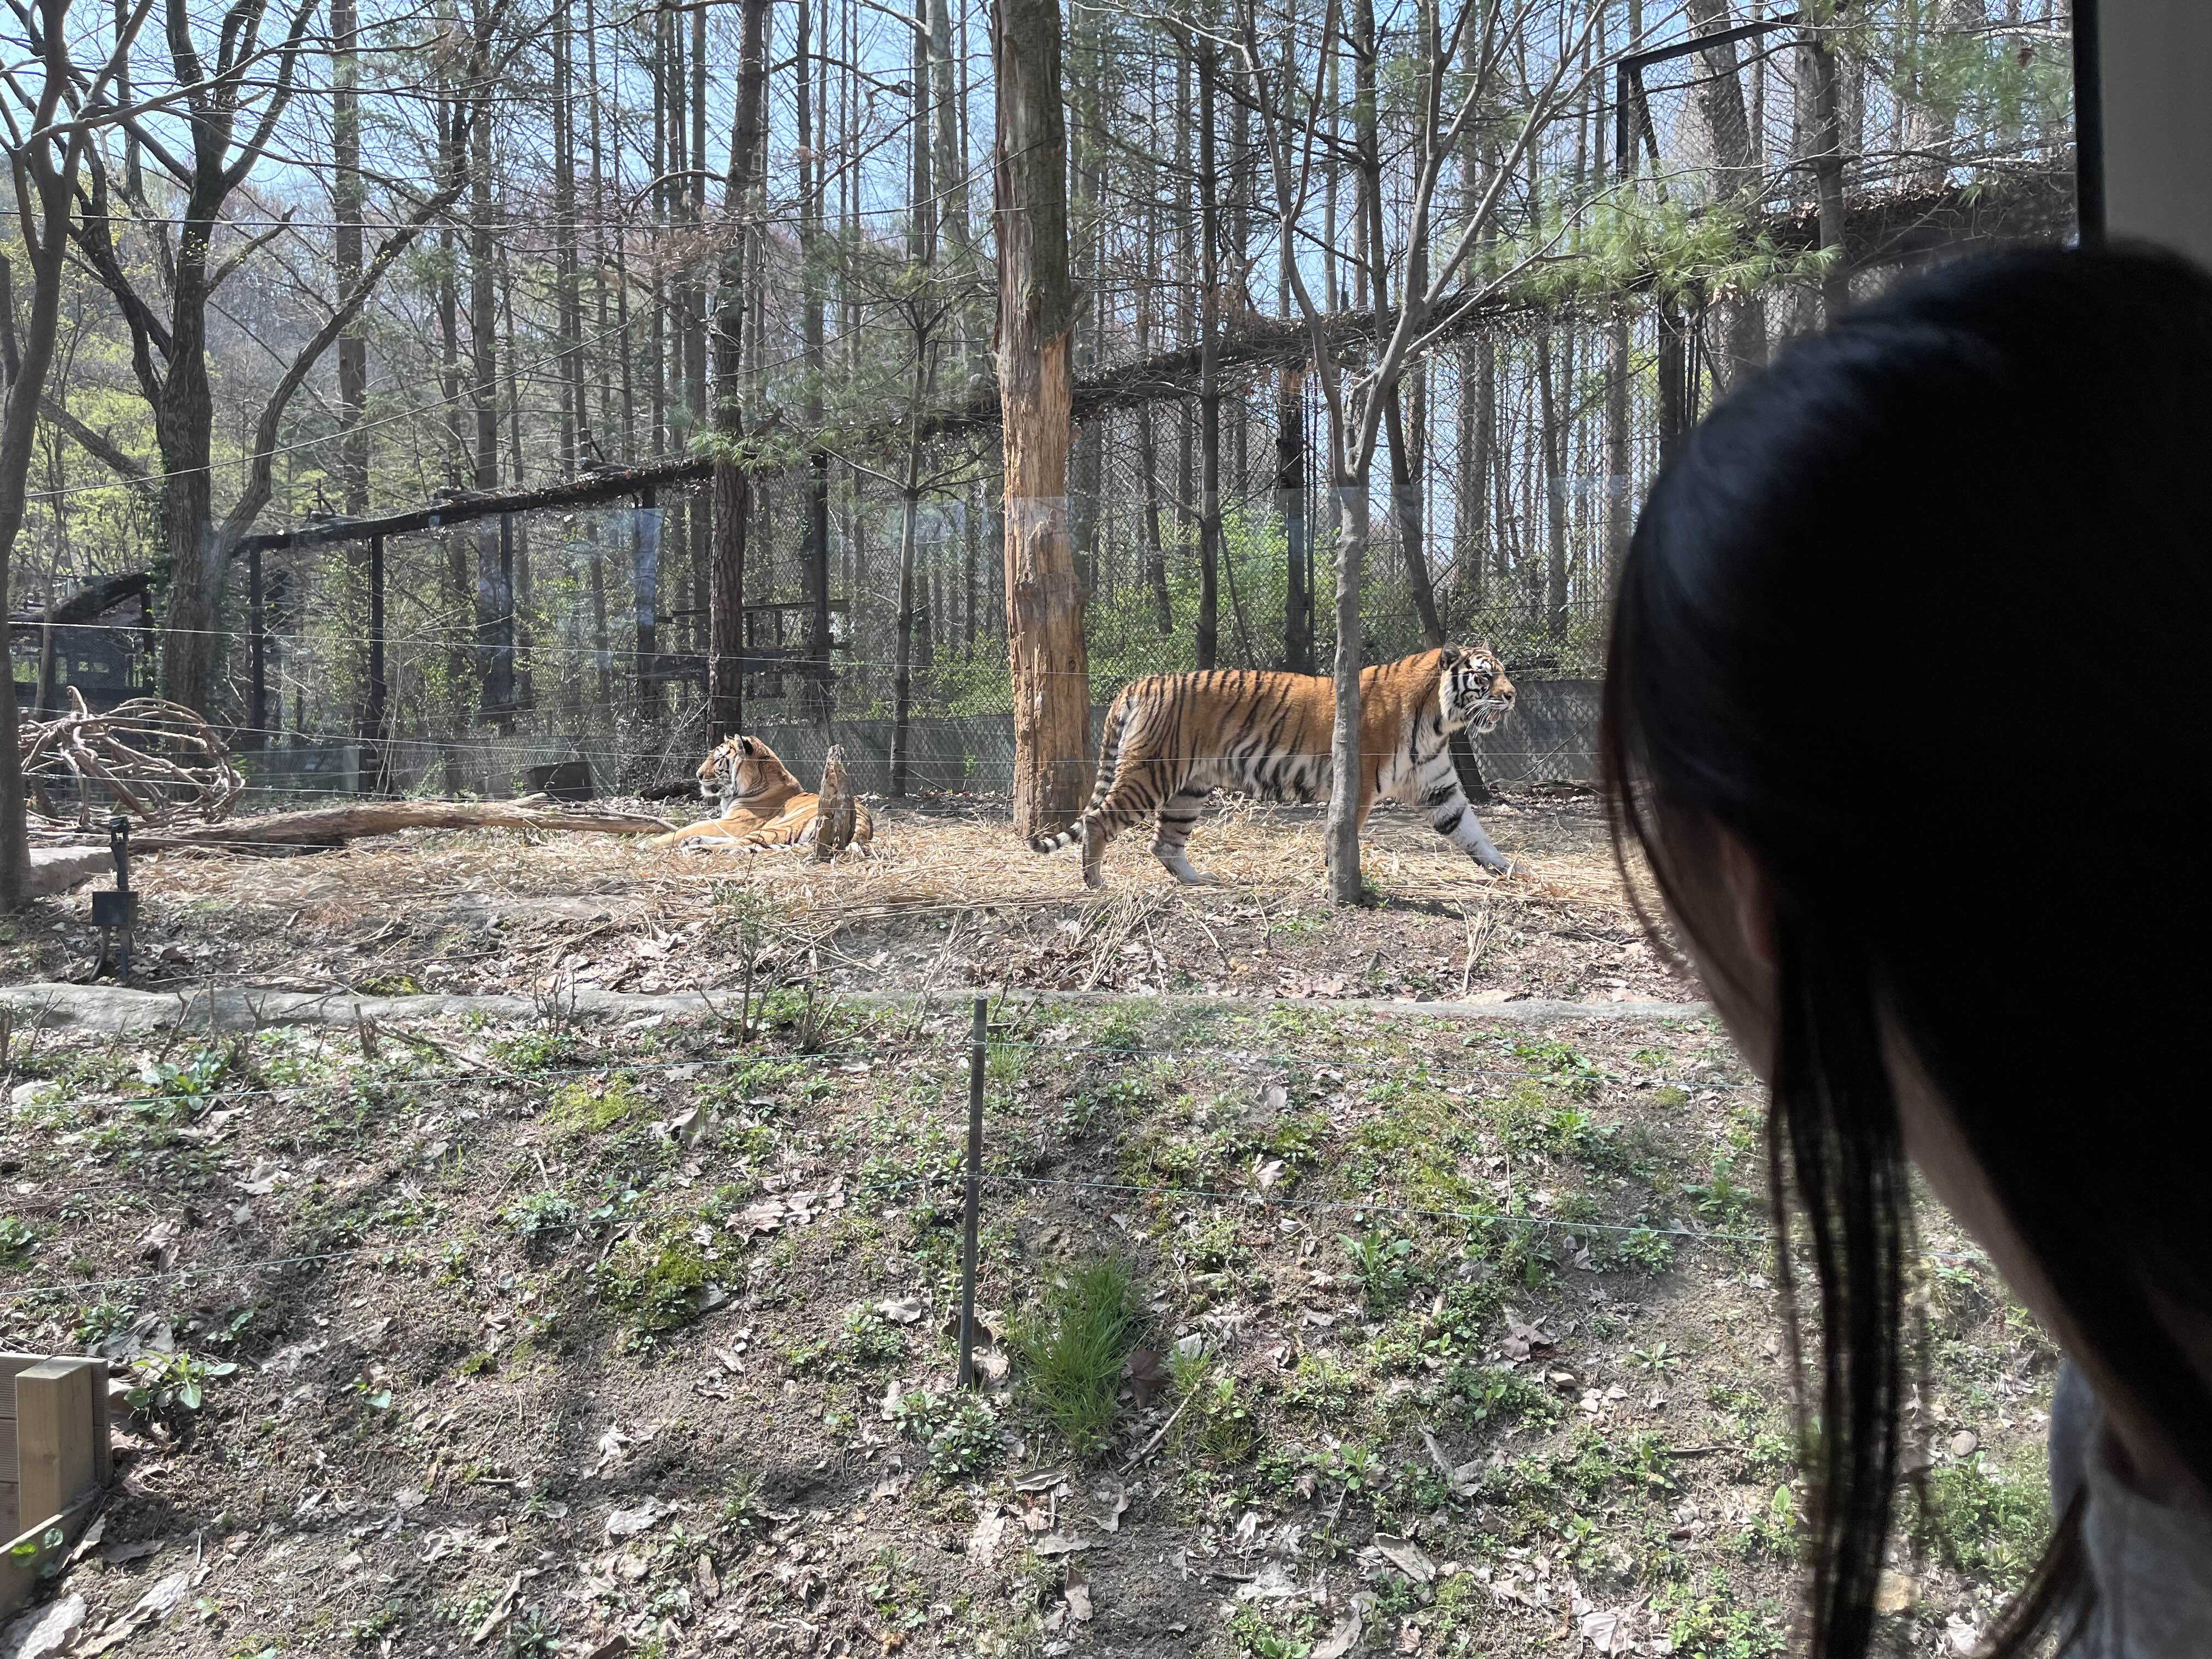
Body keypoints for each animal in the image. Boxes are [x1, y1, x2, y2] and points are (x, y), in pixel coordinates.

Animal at [646, 734, 875, 853]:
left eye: (718, 759)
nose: (699, 775)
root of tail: (864, 823)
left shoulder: (737, 822)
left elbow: (686, 828)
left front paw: (648, 842)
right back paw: (694, 843)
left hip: (779, 827)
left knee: (740, 844)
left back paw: (695, 846)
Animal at [1028, 645, 1516, 888]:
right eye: (1485, 675)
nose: (1513, 695)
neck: (1438, 720)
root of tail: (1141, 682)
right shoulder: (1357, 788)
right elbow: (1344, 836)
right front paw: (1336, 878)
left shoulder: (1439, 788)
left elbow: (1471, 831)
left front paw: (1510, 870)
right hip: (1151, 773)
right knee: (1098, 819)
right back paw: (1094, 882)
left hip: (1189, 789)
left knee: (1164, 844)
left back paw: (1198, 880)